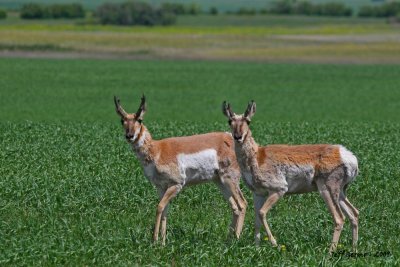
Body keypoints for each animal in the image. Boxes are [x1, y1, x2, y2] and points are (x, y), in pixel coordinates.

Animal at [113, 96, 247, 245]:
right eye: (122, 121)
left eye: (140, 119)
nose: (129, 135)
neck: (157, 149)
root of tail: (230, 137)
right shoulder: (161, 187)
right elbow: (165, 210)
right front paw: (163, 242)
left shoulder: (176, 184)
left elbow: (159, 207)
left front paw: (154, 240)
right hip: (220, 182)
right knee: (234, 207)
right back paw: (227, 241)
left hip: (230, 180)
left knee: (242, 204)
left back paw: (237, 240)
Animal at [222, 100, 360, 253]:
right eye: (230, 121)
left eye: (248, 121)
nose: (238, 137)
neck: (257, 156)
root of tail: (347, 155)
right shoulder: (258, 193)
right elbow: (257, 219)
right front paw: (257, 249)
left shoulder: (279, 190)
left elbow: (262, 213)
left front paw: (274, 243)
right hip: (340, 192)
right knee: (354, 214)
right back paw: (354, 249)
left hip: (327, 189)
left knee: (339, 218)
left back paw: (330, 252)